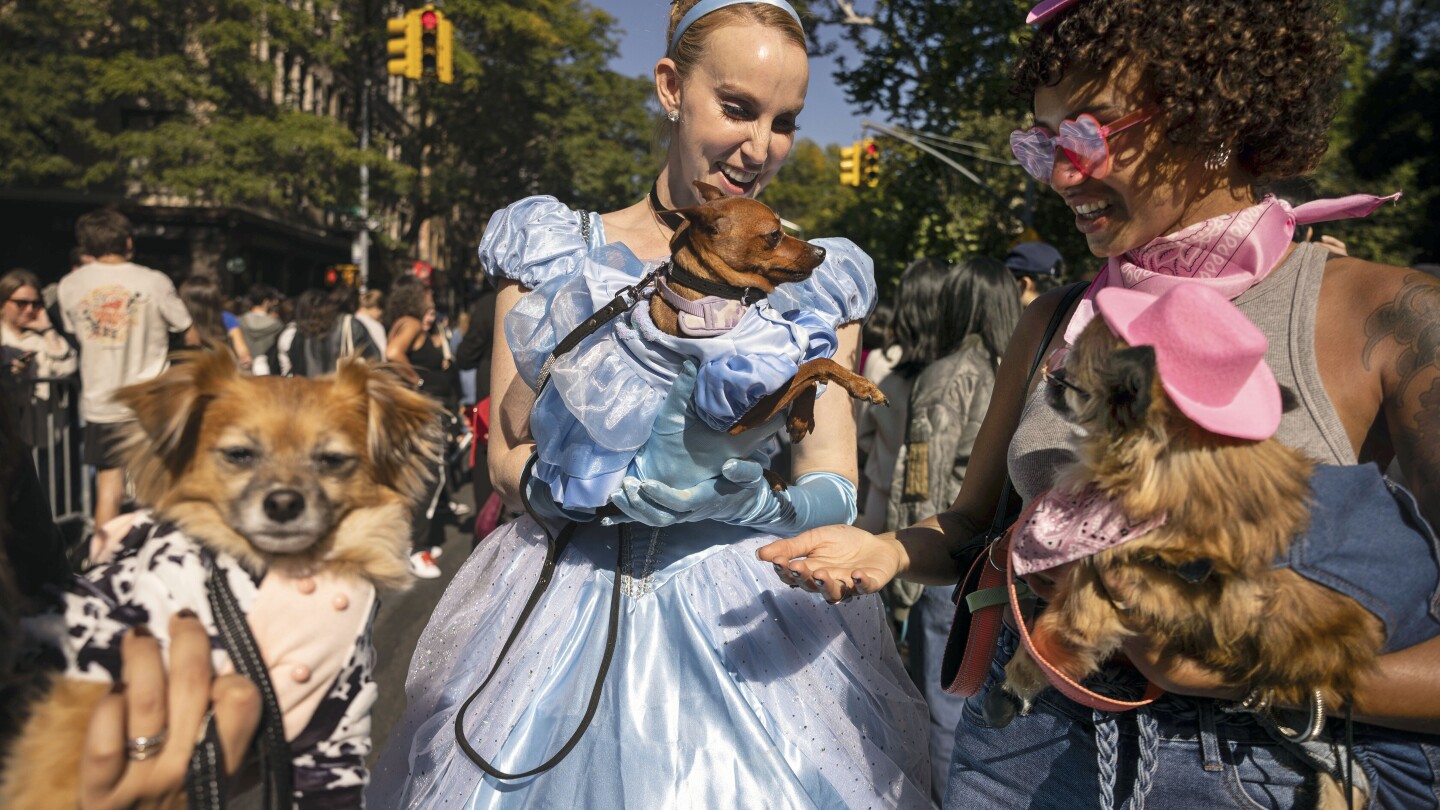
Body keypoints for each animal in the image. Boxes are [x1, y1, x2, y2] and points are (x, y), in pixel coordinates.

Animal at [0, 351, 443, 807]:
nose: (283, 502)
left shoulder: (337, 729)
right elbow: (54, 767)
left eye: (332, 460)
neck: (281, 568)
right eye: (239, 454)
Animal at [656, 179, 881, 446]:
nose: (822, 251)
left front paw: (801, 418)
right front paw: (862, 385)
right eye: (775, 234)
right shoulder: (741, 413)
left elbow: (809, 370)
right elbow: (816, 364)